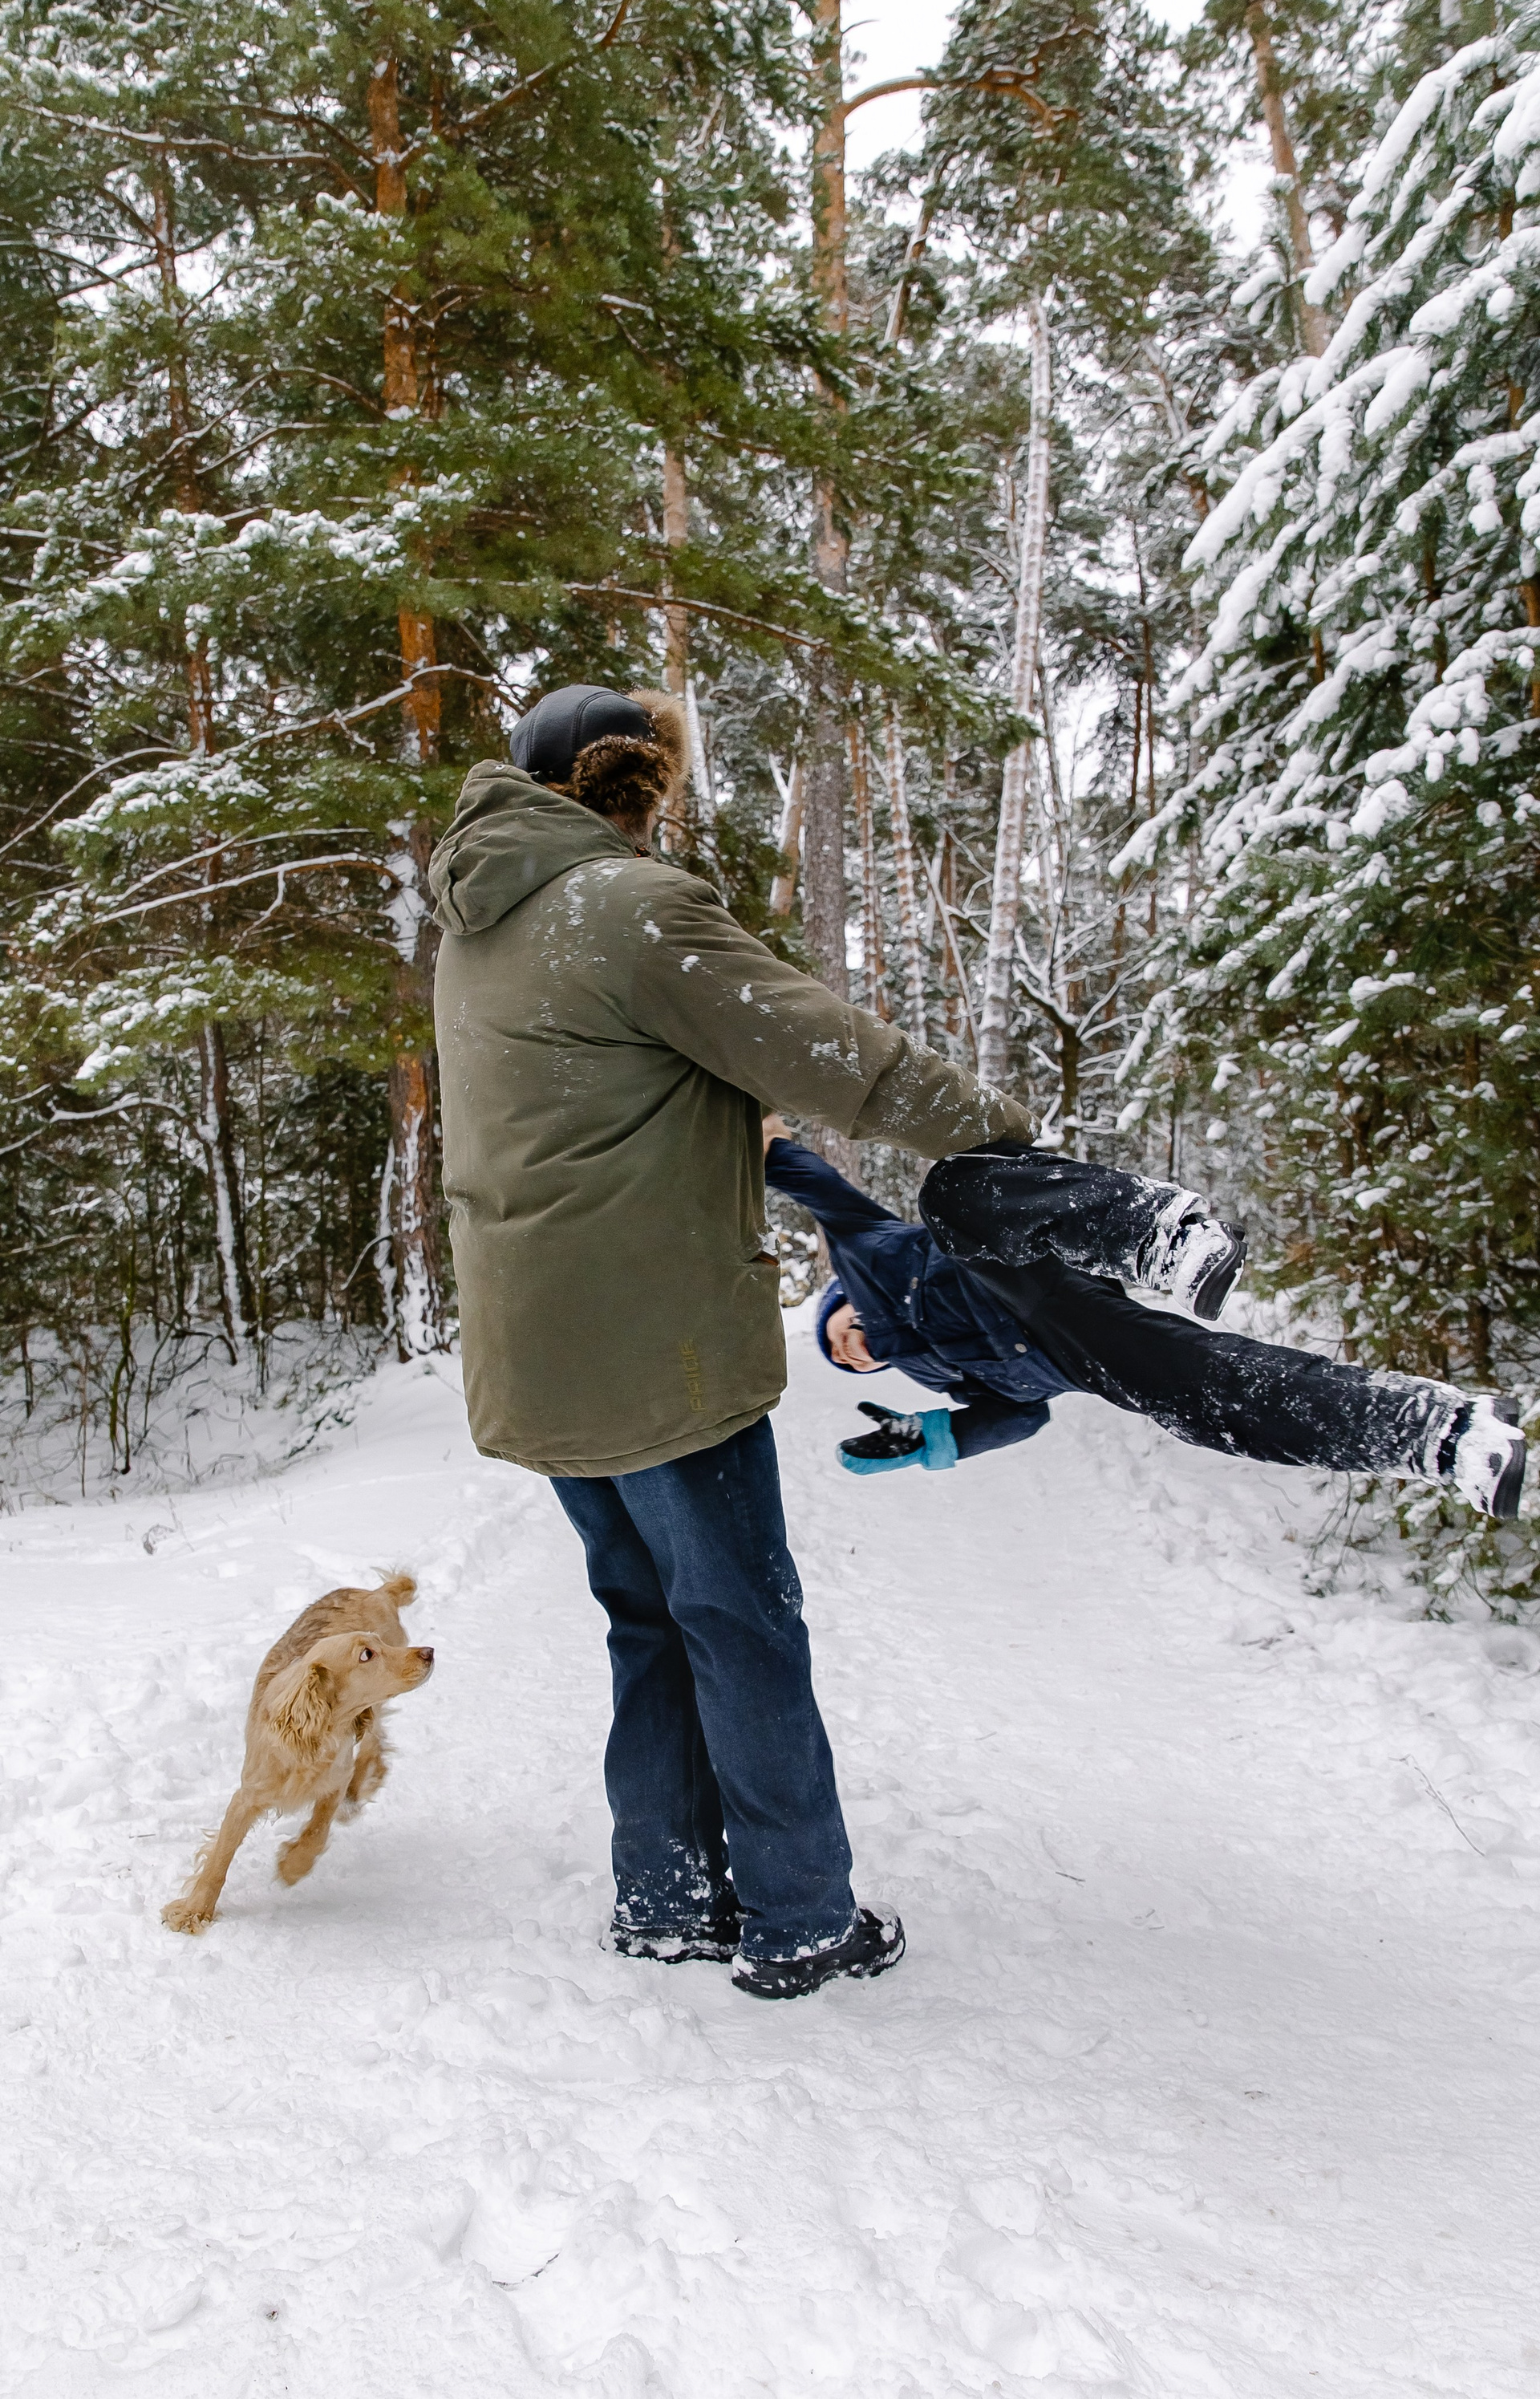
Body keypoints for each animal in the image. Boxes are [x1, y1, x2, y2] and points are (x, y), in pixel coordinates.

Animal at [162, 1572, 434, 1934]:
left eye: (379, 1645)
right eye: (366, 1655)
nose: (429, 1652)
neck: (311, 1743)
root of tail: (376, 1592)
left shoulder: (334, 1780)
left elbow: (317, 1831)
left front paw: (292, 1866)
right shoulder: (247, 1797)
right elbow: (220, 1857)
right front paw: (195, 1912)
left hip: (374, 1708)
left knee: (373, 1743)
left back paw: (362, 1785)